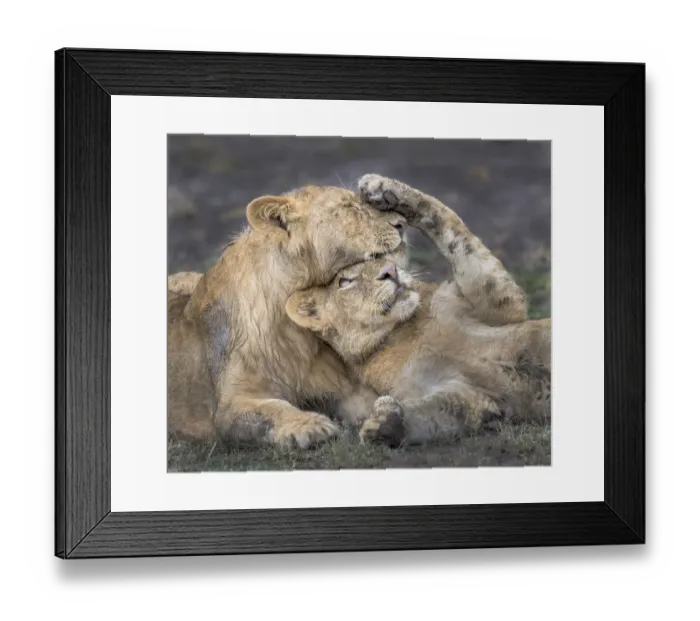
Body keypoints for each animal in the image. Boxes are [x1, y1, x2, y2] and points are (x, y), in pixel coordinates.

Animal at [168, 184, 406, 449]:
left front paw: (385, 419)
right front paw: (311, 425)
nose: (403, 223)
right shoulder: (229, 405)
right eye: (348, 206)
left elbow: (372, 400)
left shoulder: (342, 386)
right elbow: (272, 409)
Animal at [286, 175, 551, 447]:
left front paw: (383, 189)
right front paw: (384, 424)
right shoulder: (474, 396)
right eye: (344, 281)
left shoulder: (500, 304)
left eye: (382, 259)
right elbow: (438, 413)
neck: (398, 333)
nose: (390, 271)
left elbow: (453, 230)